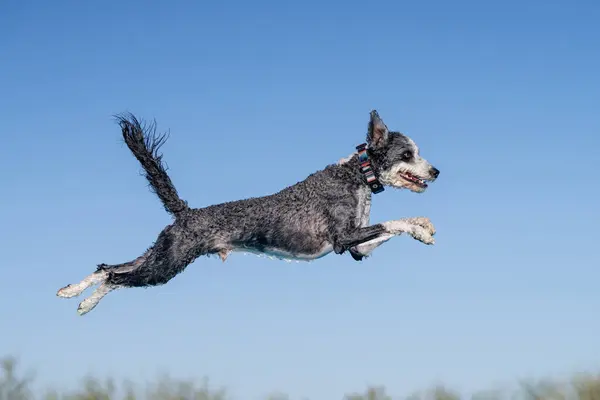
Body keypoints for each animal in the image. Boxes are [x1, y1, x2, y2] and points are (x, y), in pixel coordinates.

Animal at [56, 110, 440, 316]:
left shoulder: (357, 249)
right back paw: (86, 304)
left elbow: (392, 226)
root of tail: (186, 213)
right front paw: (421, 228)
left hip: (160, 254)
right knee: (114, 277)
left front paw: (422, 226)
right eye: (407, 154)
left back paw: (72, 292)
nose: (436, 171)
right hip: (165, 267)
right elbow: (393, 222)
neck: (358, 174)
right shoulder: (344, 239)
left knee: (108, 267)